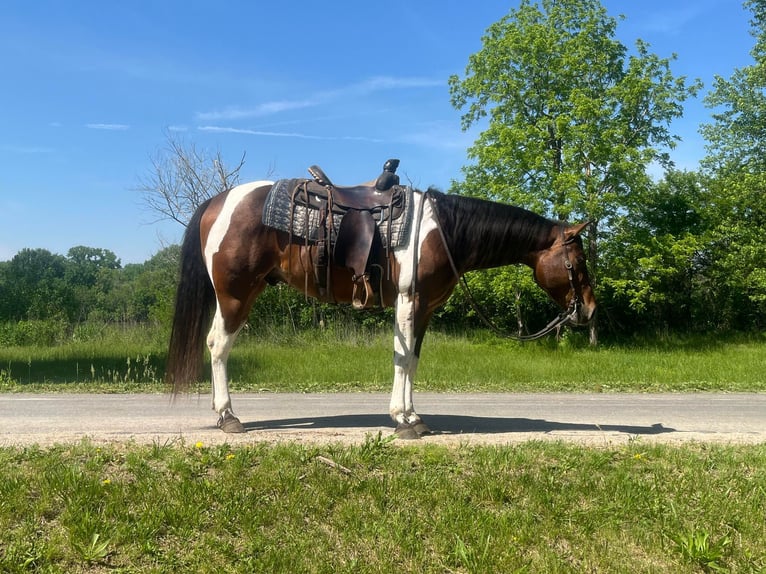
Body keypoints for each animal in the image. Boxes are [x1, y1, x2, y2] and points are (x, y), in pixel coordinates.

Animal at [165, 175, 597, 438]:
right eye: (577, 263)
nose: (589, 310)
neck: (441, 232)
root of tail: (218, 202)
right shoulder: (409, 301)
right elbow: (402, 359)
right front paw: (403, 421)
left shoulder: (425, 309)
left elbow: (413, 361)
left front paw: (414, 417)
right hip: (236, 294)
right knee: (218, 346)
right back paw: (228, 417)